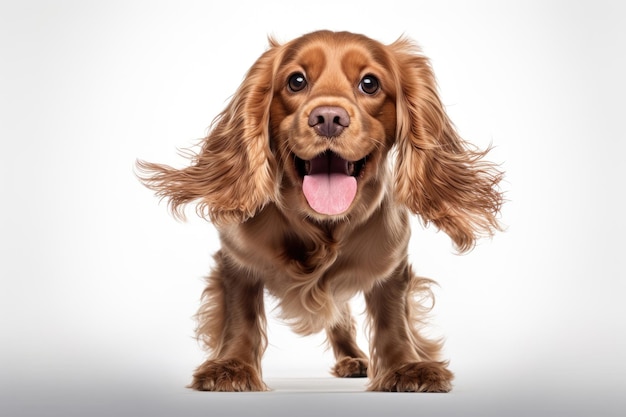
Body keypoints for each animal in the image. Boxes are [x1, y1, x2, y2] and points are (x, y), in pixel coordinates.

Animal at [136, 29, 502, 390]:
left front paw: (406, 366)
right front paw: (232, 366)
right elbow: (241, 315)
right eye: (296, 81)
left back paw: (354, 359)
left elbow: (392, 318)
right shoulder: (236, 262)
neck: (323, 227)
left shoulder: (392, 266)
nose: (328, 118)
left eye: (369, 83)